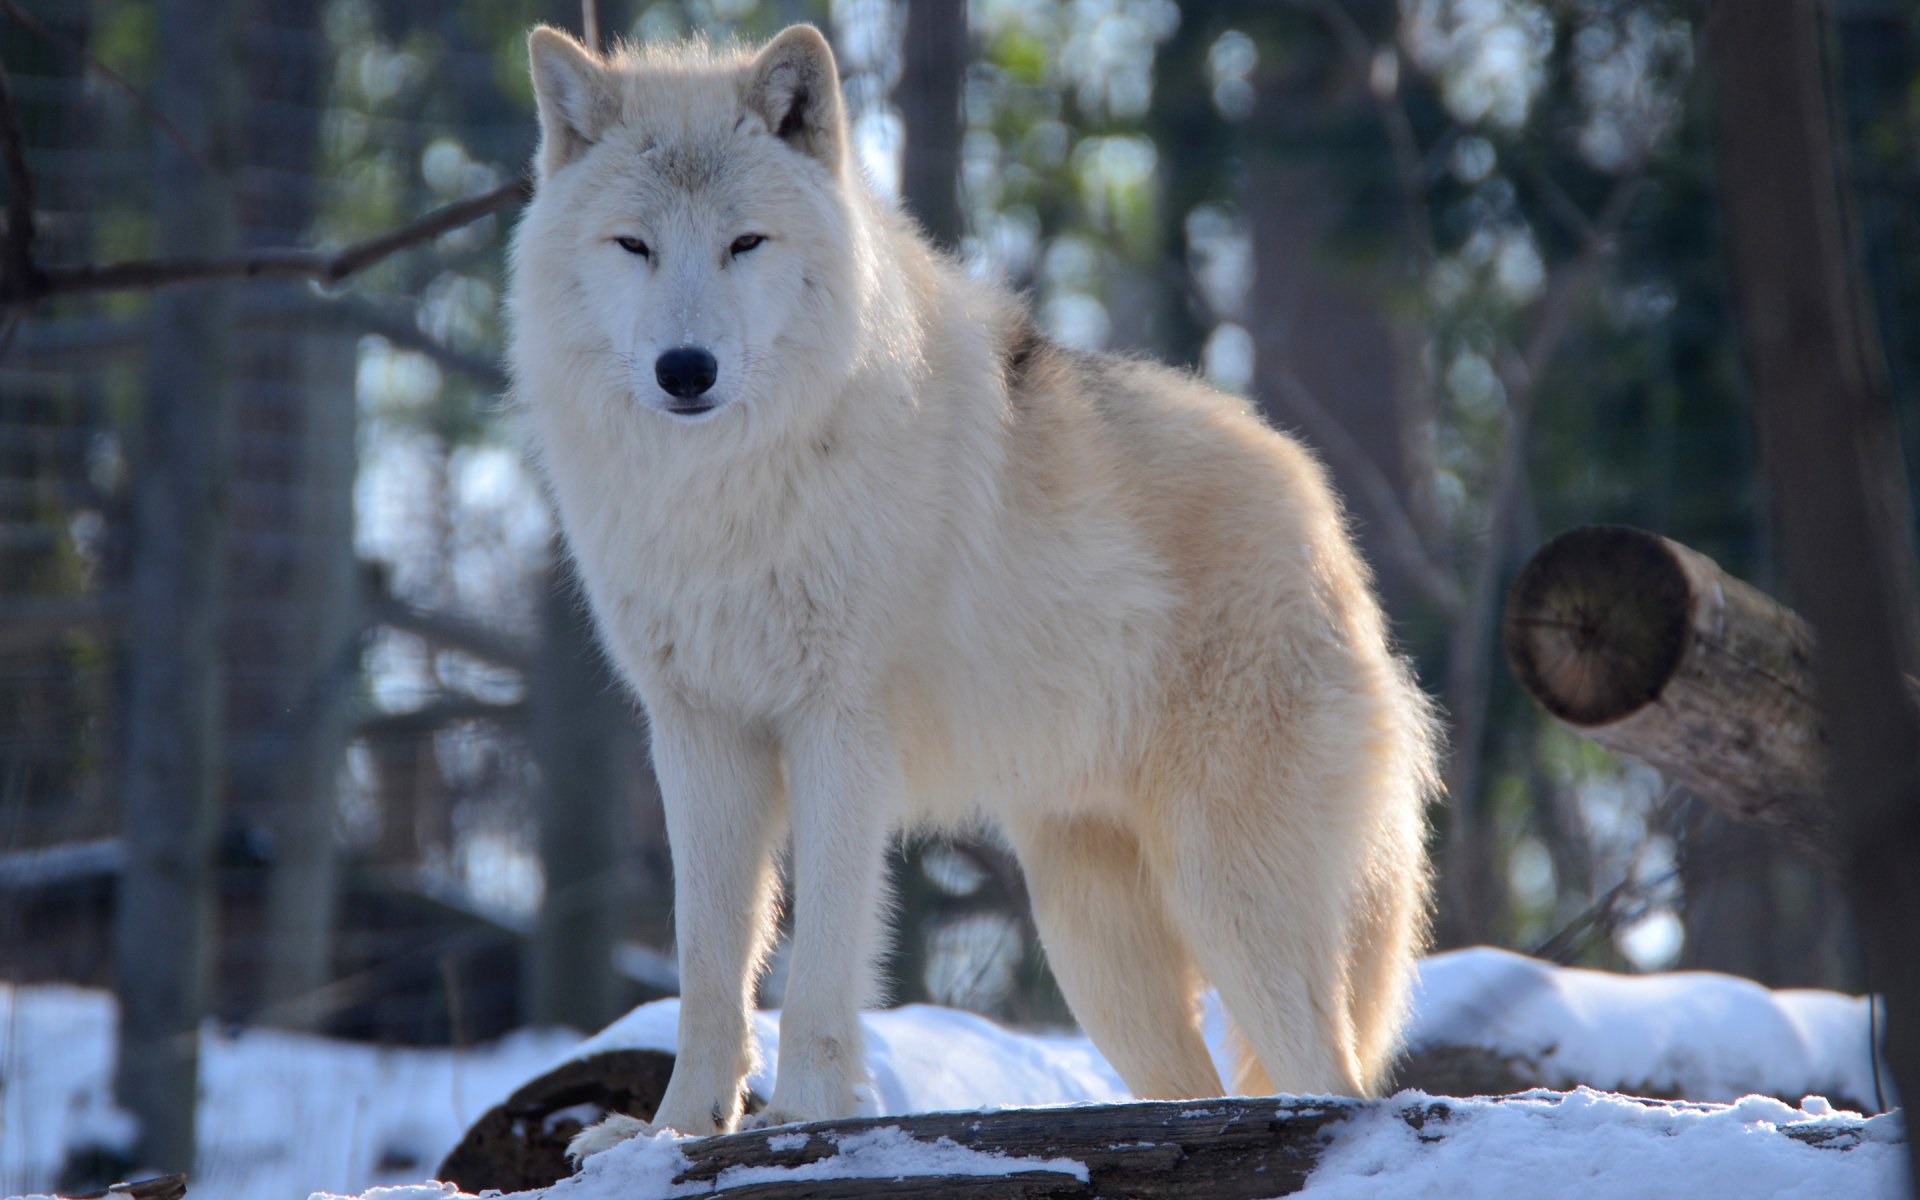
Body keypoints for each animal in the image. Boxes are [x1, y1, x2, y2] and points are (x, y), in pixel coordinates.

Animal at [510, 25, 1443, 1152]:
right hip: (1097, 949)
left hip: (1230, 902)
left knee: (1337, 1080)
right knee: (1213, 1084)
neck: (726, 493)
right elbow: (707, 969)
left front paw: (803, 1116)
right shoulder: (699, 738)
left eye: (745, 244)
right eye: (633, 247)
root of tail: (1330, 530)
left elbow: (821, 965)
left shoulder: (840, 731)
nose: (684, 369)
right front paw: (674, 1133)